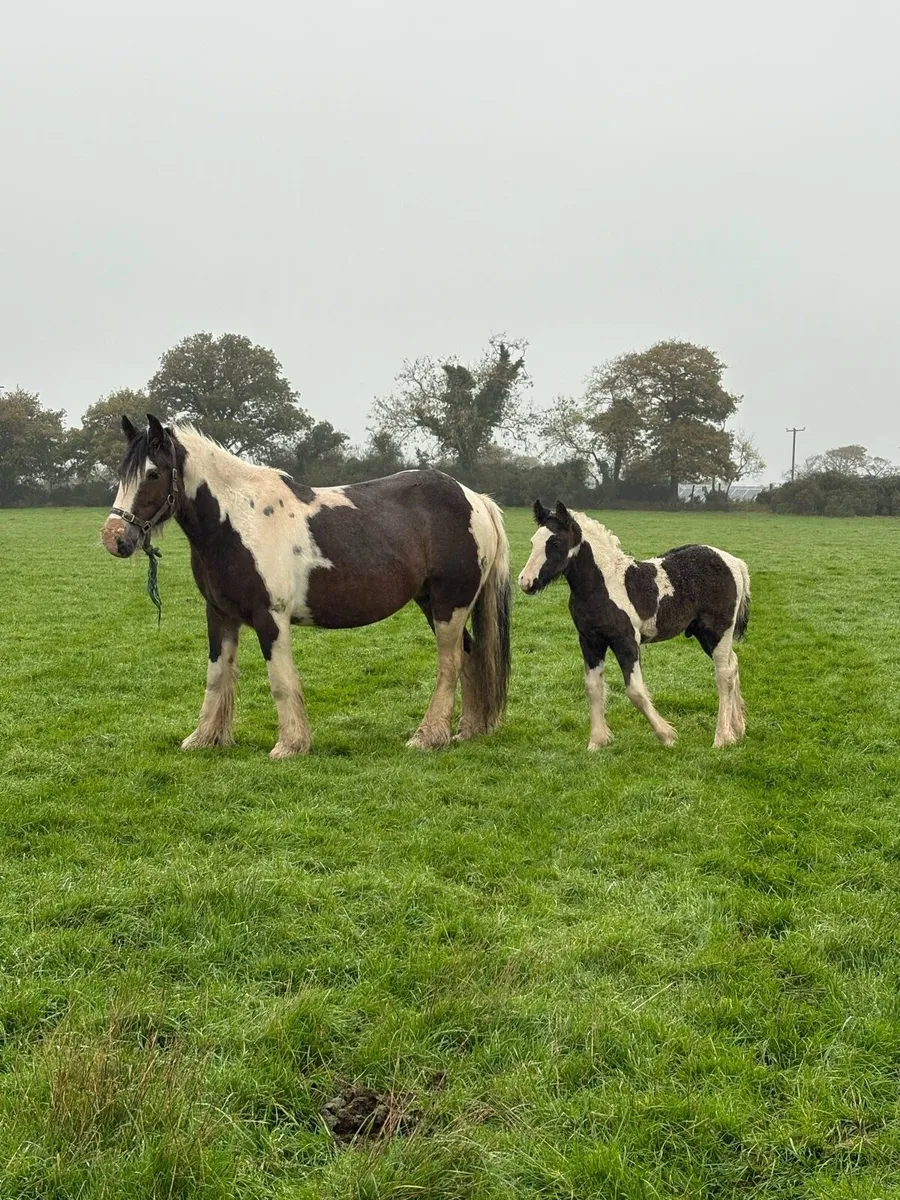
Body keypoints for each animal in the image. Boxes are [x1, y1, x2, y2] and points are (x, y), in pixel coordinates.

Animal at [100, 414, 511, 757]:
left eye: (153, 474)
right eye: (121, 473)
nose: (114, 537)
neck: (238, 521)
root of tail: (475, 499)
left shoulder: (271, 618)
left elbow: (280, 681)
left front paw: (290, 745)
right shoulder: (219, 615)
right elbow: (217, 676)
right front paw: (204, 738)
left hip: (448, 605)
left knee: (450, 664)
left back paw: (427, 737)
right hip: (434, 603)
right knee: (470, 656)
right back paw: (467, 730)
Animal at [517, 501, 750, 749]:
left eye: (556, 543)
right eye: (533, 541)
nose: (525, 581)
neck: (602, 584)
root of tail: (734, 562)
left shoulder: (626, 641)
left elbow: (635, 691)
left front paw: (667, 735)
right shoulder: (590, 641)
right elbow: (593, 687)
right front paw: (596, 742)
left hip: (718, 631)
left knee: (724, 675)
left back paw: (722, 738)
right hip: (703, 634)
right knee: (734, 665)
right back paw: (738, 729)